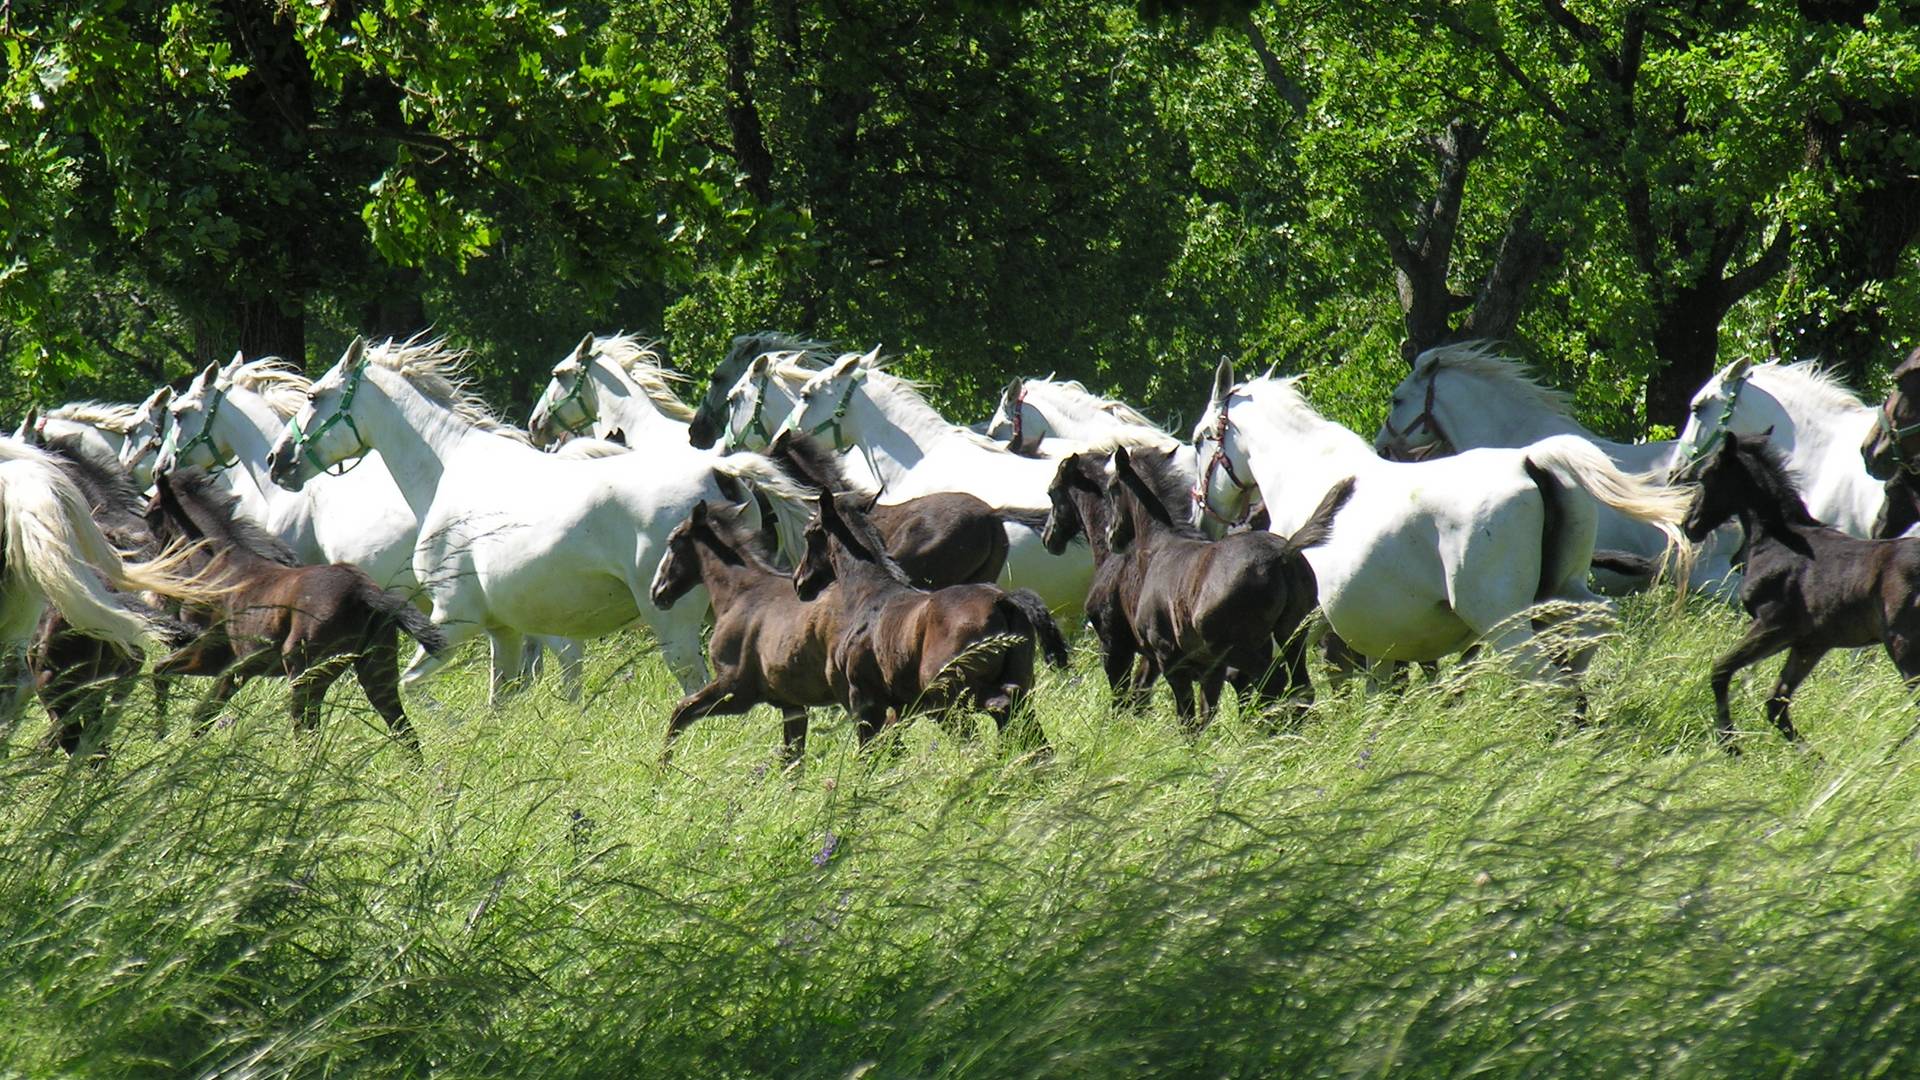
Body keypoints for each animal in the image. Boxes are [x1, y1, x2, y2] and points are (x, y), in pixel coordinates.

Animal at [263, 332, 787, 691]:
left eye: (313, 397)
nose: (277, 460)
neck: (449, 469)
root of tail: (723, 471)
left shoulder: (452, 622)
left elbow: (411, 688)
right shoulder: (506, 633)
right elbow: (502, 699)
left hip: (674, 628)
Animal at [1198, 361, 1697, 676]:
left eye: (1202, 437)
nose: (1205, 517)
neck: (1312, 478)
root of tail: (1532, 462)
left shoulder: (1313, 628)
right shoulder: (1377, 637)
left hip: (1504, 622)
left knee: (1545, 675)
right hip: (1562, 593)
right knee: (1590, 629)